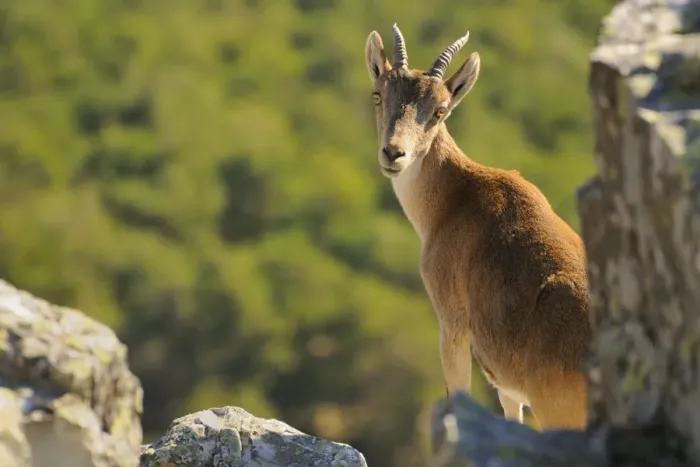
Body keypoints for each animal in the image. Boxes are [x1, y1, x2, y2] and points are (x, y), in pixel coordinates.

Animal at [363, 24, 591, 429]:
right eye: (379, 94)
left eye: (440, 110)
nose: (394, 153)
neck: (454, 199)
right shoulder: (506, 384)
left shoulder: (452, 323)